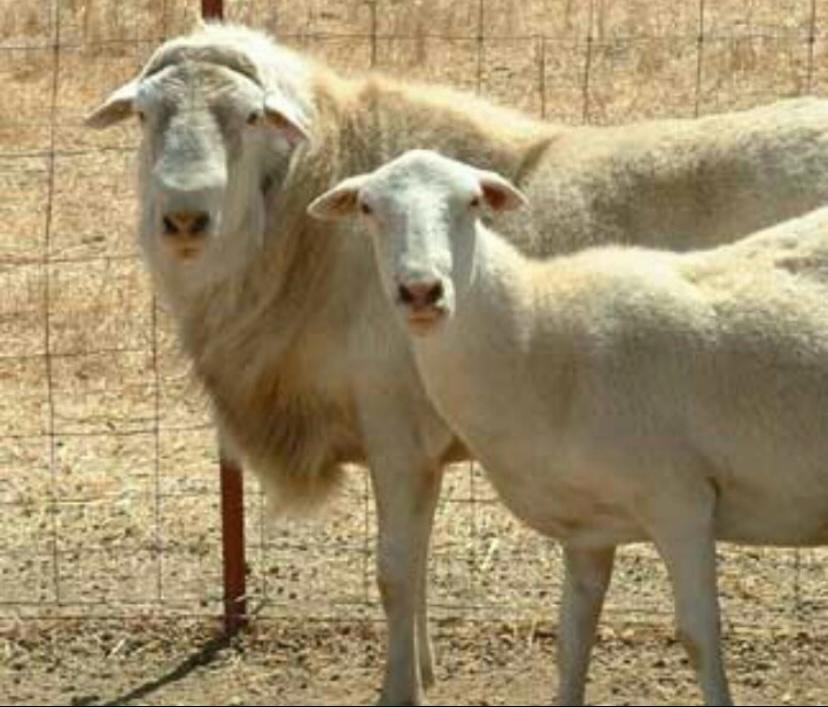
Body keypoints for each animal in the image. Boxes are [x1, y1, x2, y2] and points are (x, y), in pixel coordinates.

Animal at [308, 148, 828, 706]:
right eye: (367, 207)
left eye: (472, 201)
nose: (422, 291)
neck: (539, 338)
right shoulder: (587, 529)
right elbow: (573, 638)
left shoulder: (681, 503)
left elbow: (699, 637)